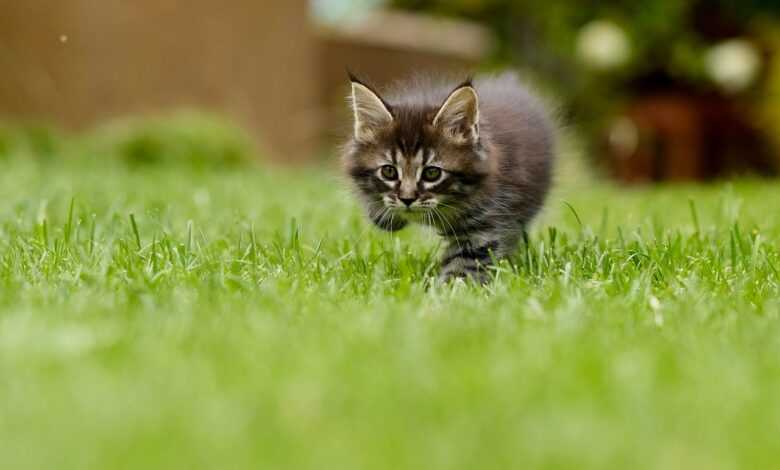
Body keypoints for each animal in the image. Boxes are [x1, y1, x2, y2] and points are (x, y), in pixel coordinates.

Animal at [342, 71, 556, 280]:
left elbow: (464, 264)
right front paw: (384, 215)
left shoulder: (486, 220)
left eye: (432, 173)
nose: (407, 199)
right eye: (389, 171)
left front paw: (447, 288)